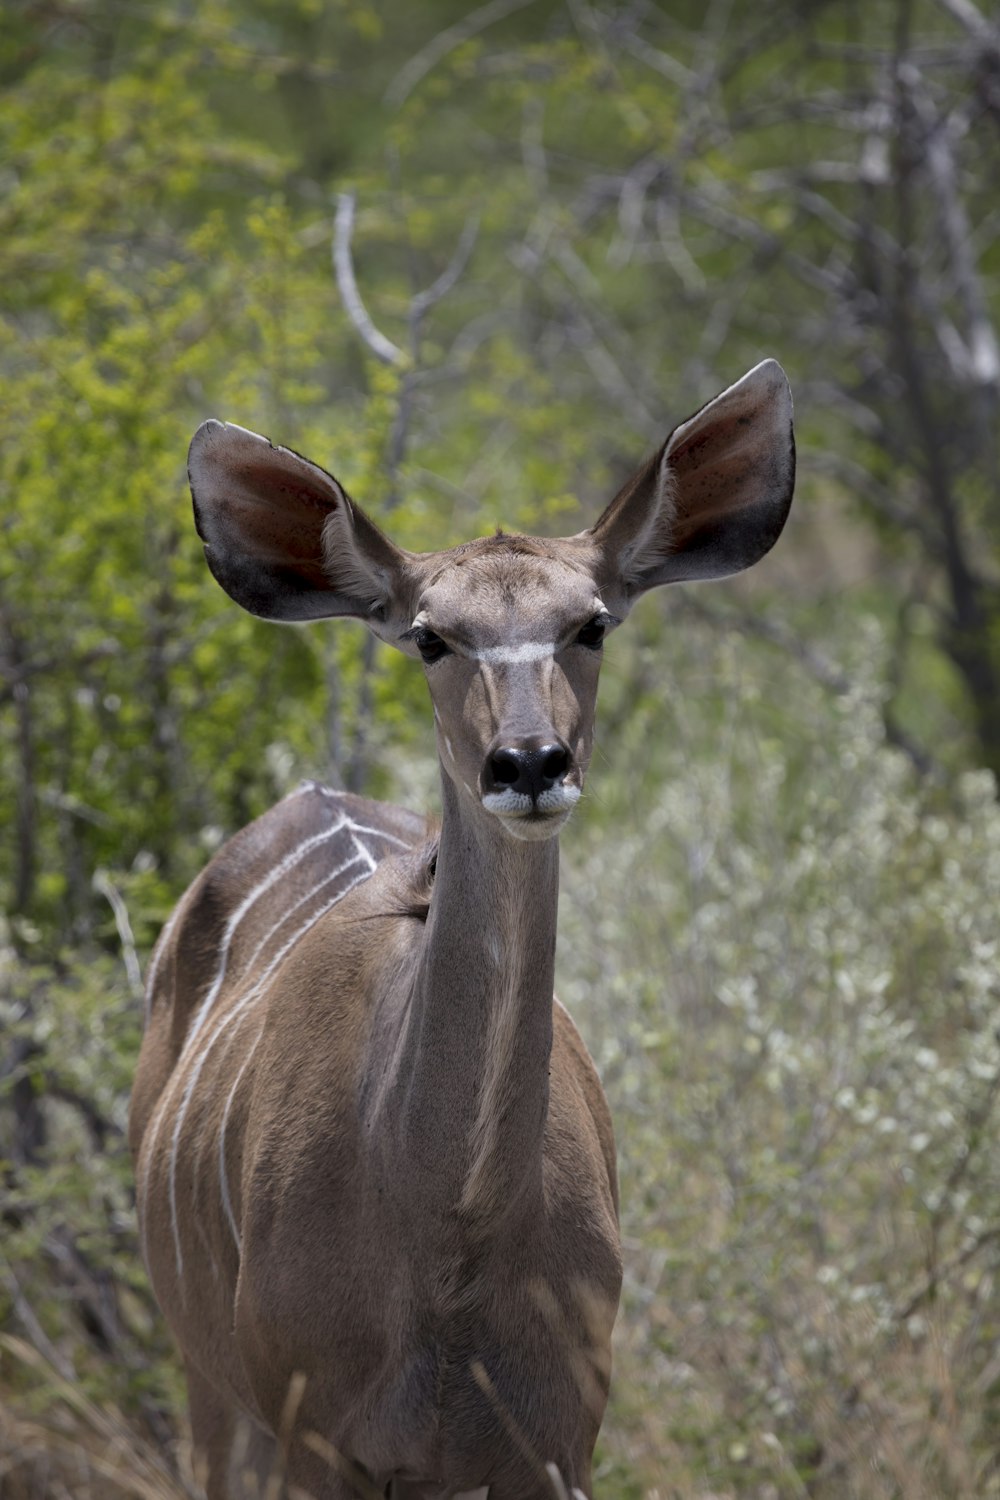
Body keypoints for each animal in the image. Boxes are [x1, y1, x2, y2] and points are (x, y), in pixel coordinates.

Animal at [127, 360, 797, 1500]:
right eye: (431, 636)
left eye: (592, 624)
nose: (528, 764)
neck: (450, 1241)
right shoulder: (319, 1443)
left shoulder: (556, 1440)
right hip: (212, 1392)